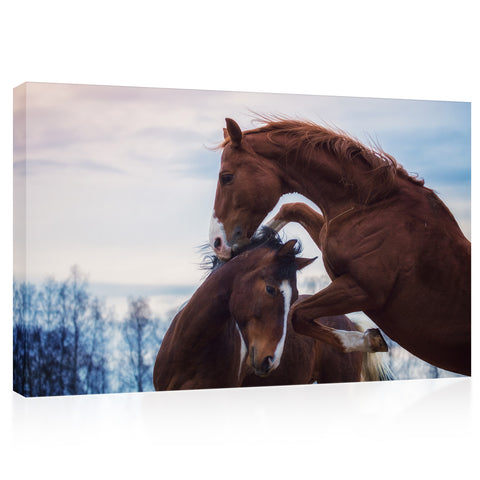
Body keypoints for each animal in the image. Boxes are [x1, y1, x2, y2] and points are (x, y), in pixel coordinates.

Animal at [208, 116, 470, 376]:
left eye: (226, 176)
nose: (217, 243)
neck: (375, 206)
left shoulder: (364, 290)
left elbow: (297, 315)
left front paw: (370, 340)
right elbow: (293, 207)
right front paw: (261, 241)